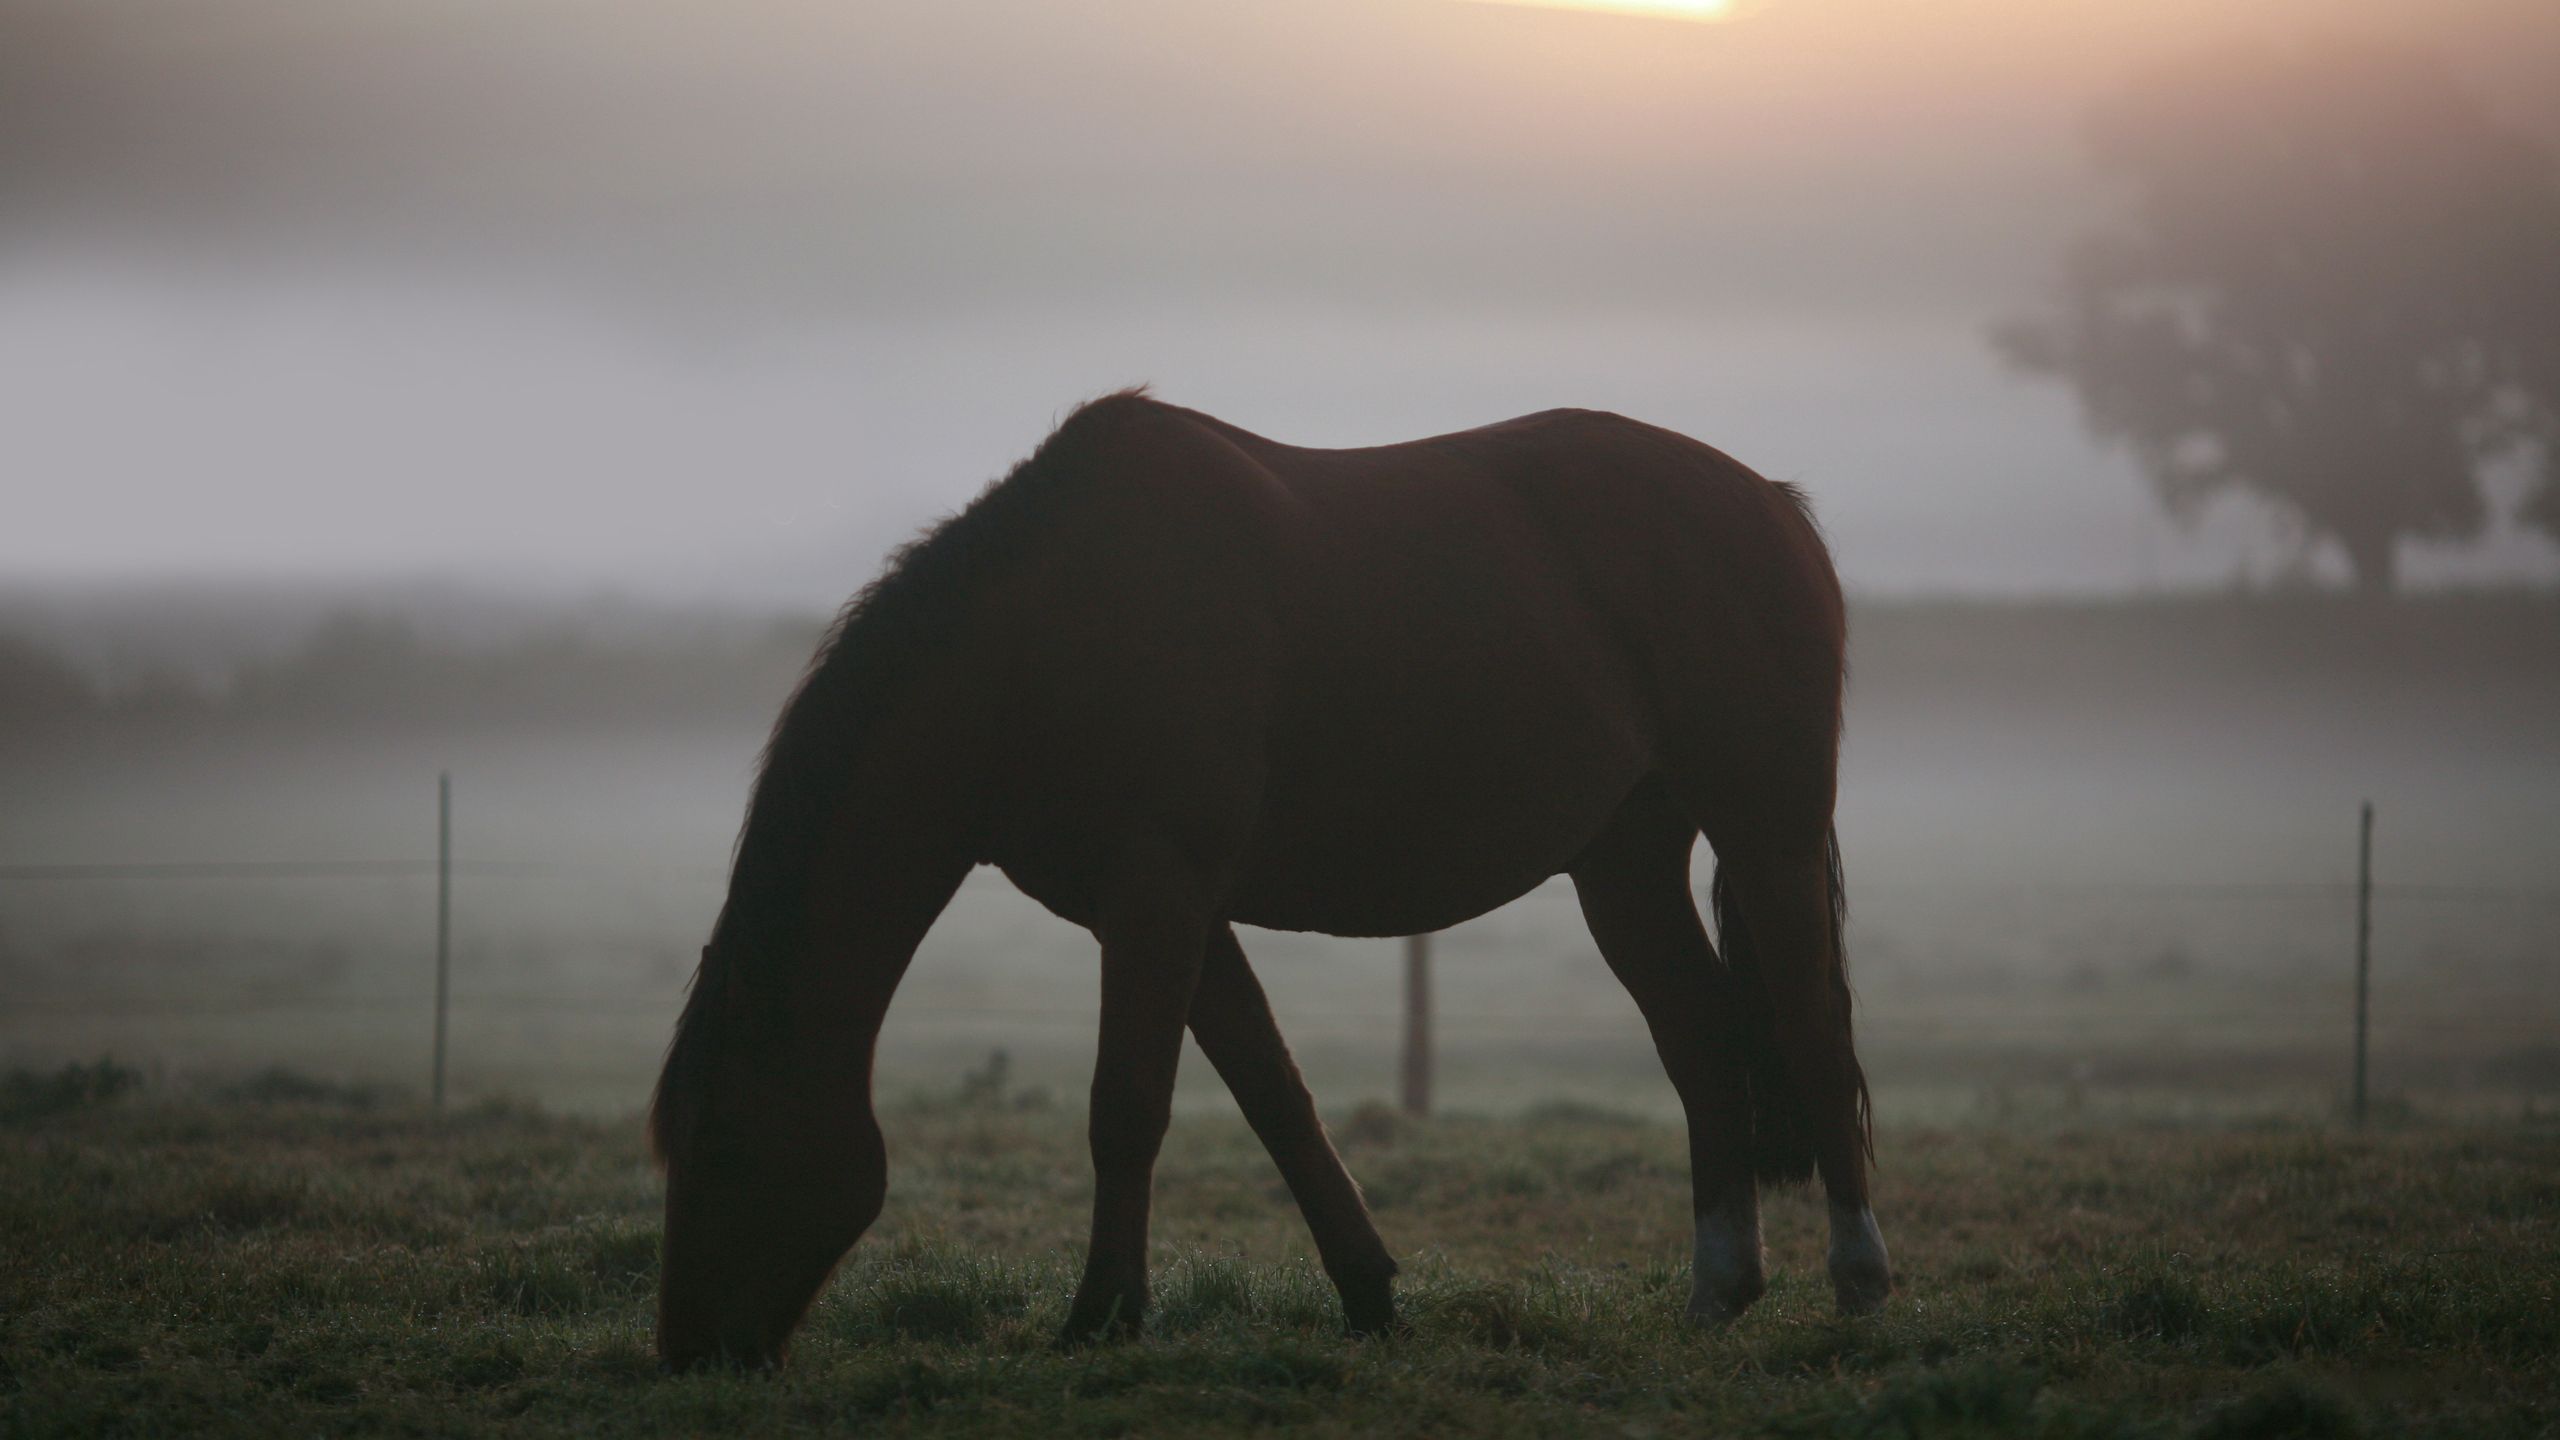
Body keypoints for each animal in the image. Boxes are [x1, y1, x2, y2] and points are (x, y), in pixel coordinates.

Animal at [650, 386, 1894, 1363]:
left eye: (715, 1145)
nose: (687, 1352)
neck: (1044, 638)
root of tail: (1768, 502)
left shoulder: (1157, 895)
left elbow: (1126, 1108)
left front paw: (1100, 1319)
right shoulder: (1167, 913)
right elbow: (1273, 1097)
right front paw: (1370, 1296)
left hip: (1767, 834)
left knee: (1814, 1035)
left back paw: (1861, 1285)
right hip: (1622, 866)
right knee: (1699, 1041)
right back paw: (1718, 1291)